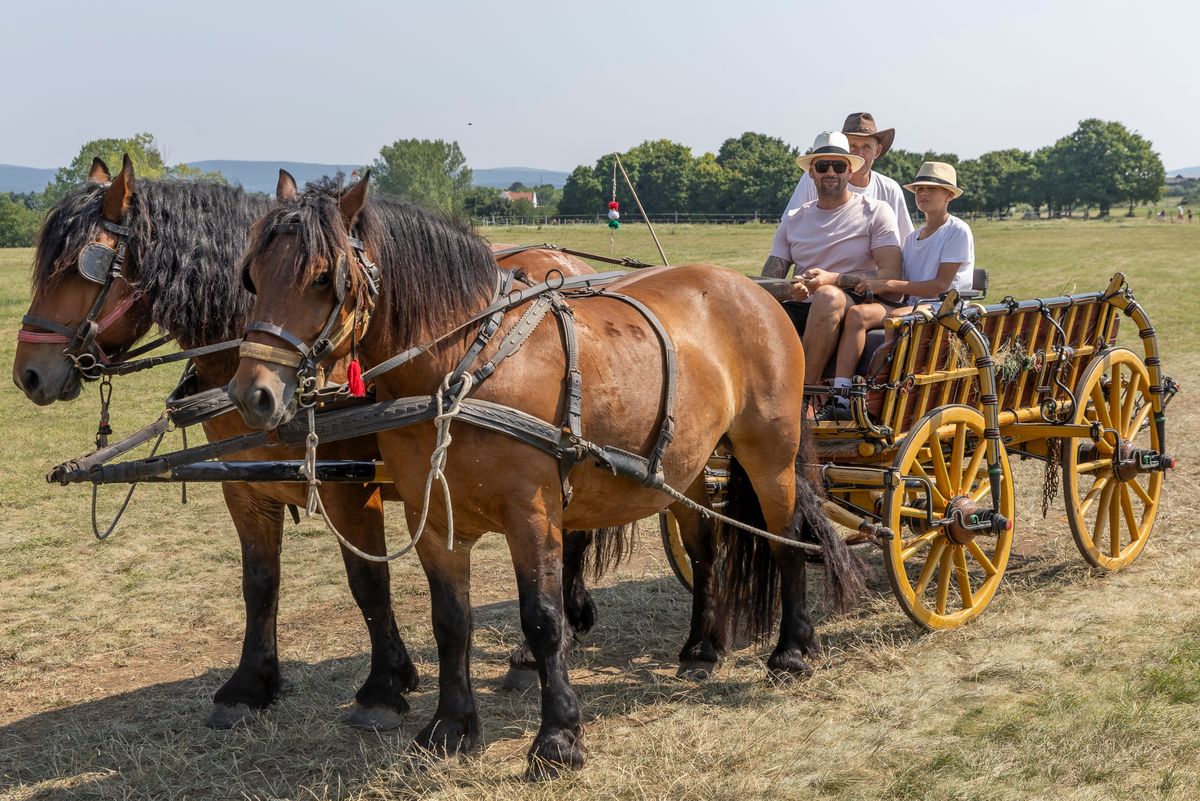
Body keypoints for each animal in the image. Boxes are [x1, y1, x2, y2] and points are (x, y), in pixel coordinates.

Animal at [9, 158, 624, 733]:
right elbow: (259, 583)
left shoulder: (350, 485)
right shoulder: (245, 487)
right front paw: (250, 683)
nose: (28, 375)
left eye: (83, 265)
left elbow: (368, 582)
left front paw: (384, 686)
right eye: (251, 277)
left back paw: (538, 648)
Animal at [226, 173, 864, 777]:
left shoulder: (531, 512)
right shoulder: (431, 518)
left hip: (769, 455)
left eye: (322, 278)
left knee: (786, 540)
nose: (253, 395)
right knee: (706, 549)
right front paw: (450, 728)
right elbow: (450, 620)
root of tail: (755, 290)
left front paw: (557, 738)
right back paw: (701, 650)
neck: (465, 364)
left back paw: (791, 651)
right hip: (687, 465)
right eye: (251, 276)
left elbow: (543, 618)